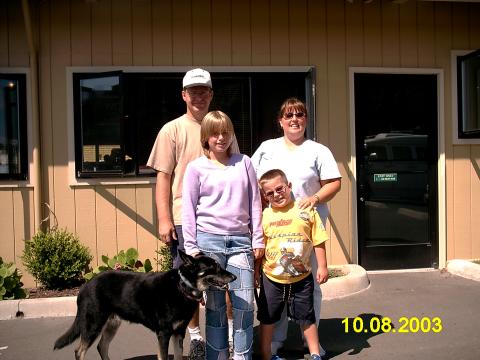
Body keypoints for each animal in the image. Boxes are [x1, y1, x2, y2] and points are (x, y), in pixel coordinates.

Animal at [54, 250, 236, 360]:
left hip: (112, 324)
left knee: (101, 346)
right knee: (79, 351)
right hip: (93, 323)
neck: (182, 286)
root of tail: (85, 286)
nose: (234, 277)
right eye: (214, 267)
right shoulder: (163, 333)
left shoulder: (179, 332)